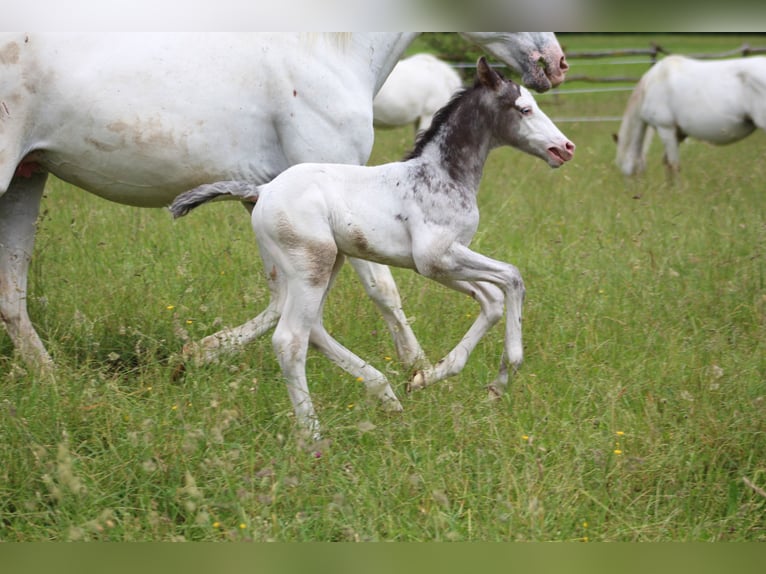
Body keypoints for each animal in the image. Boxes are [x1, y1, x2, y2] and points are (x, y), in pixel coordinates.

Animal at [0, 32, 568, 374]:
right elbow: (394, 289)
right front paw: (424, 369)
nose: (555, 62)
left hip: (29, 176)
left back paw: (50, 375)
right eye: (522, 109)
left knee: (13, 292)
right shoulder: (405, 240)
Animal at [170, 58, 576, 438]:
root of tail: (263, 190)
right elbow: (512, 278)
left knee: (312, 329)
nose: (566, 148)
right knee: (290, 340)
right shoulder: (435, 258)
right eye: (524, 109)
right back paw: (314, 435)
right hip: (312, 266)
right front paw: (501, 379)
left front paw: (427, 377)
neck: (442, 176)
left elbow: (491, 300)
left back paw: (386, 395)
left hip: (322, 264)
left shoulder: (443, 265)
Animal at [616, 56, 766, 178]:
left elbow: (674, 165)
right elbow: (667, 163)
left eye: (625, 172)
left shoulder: (665, 129)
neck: (650, 85)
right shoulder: (678, 135)